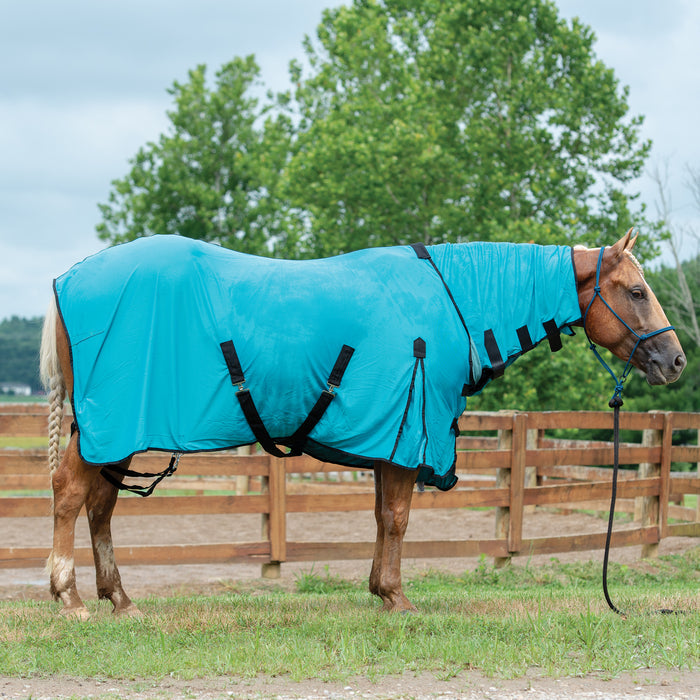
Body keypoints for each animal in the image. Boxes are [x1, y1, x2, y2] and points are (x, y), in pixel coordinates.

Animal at [39, 229, 685, 618]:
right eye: (636, 291)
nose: (676, 360)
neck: (450, 300)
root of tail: (67, 280)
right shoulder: (406, 436)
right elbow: (398, 519)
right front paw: (397, 598)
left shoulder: (384, 440)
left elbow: (381, 518)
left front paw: (380, 589)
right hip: (106, 427)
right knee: (70, 495)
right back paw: (69, 597)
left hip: (113, 433)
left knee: (101, 508)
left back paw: (120, 599)